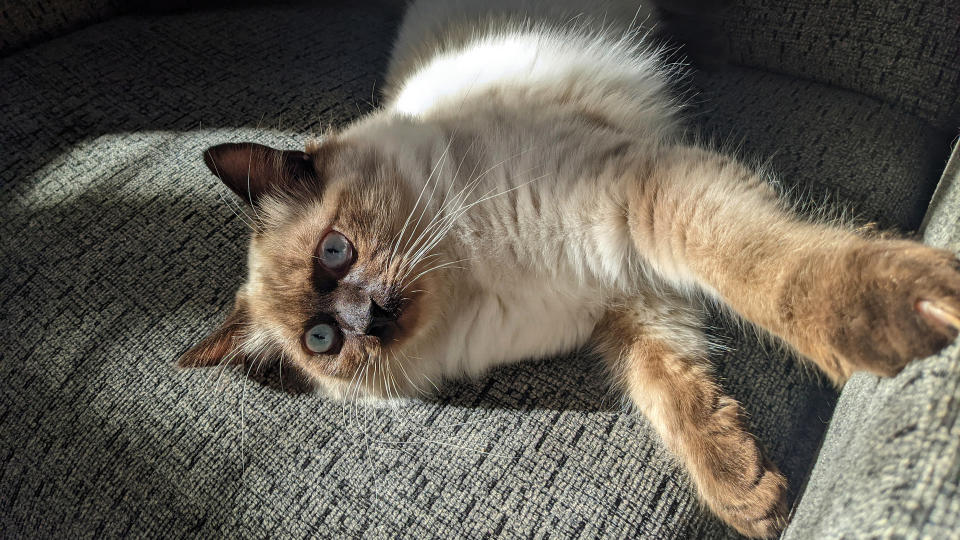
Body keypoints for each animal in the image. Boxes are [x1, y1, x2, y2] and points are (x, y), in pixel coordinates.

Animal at [178, 0, 960, 536]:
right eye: (322, 340)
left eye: (334, 251)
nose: (368, 317)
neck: (481, 275)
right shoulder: (624, 298)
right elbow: (669, 391)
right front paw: (747, 493)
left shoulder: (638, 203)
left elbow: (771, 278)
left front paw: (909, 317)